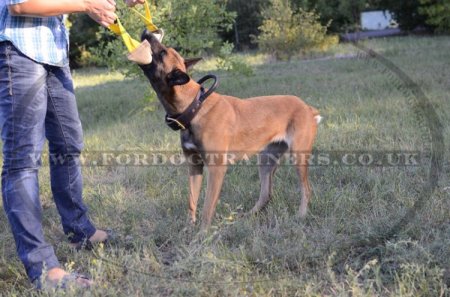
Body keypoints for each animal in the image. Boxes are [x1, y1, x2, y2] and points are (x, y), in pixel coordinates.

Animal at [139, 30, 322, 229]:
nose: (147, 32)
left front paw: (203, 234)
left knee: (306, 189)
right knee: (266, 193)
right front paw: (189, 228)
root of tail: (307, 107)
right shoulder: (194, 166)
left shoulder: (217, 168)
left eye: (162, 52)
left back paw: (301, 216)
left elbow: (207, 207)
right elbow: (192, 201)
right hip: (266, 160)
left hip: (298, 157)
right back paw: (248, 217)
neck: (194, 106)